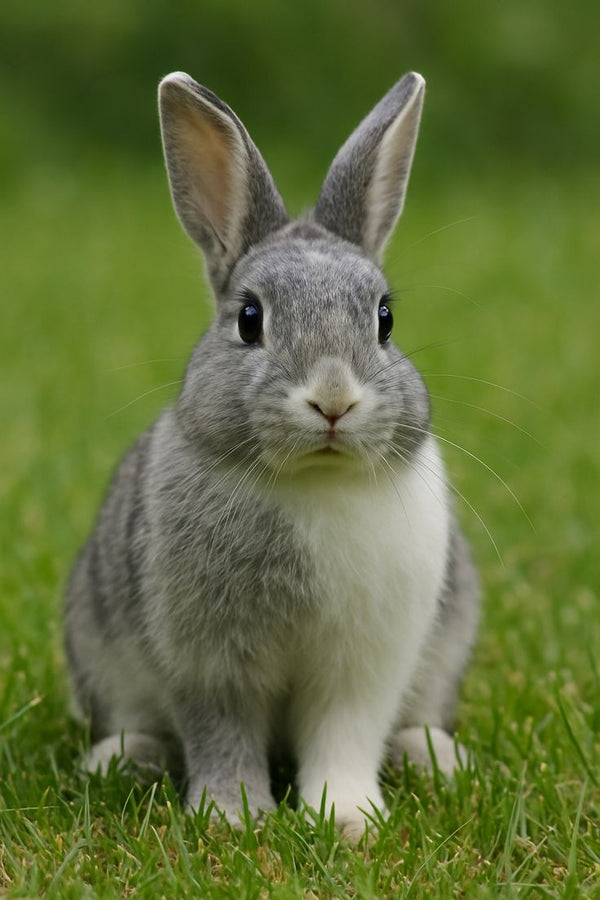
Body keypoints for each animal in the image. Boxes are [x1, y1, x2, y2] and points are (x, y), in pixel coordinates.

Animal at [65, 70, 480, 841]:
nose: (333, 400)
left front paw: (347, 818)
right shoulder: (208, 663)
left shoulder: (363, 668)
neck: (315, 482)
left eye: (385, 319)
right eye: (249, 319)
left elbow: (345, 735)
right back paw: (122, 759)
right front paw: (232, 819)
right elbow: (221, 736)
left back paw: (435, 757)